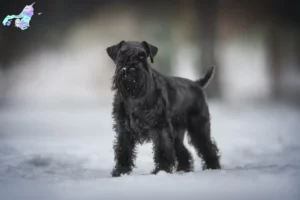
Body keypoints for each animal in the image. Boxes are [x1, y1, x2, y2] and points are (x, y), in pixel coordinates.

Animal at [106, 40, 220, 177]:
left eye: (142, 56)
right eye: (122, 55)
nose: (131, 68)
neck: (135, 96)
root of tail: (197, 84)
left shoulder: (160, 127)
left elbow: (162, 149)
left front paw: (161, 170)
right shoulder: (124, 128)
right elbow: (123, 150)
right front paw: (120, 171)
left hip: (199, 128)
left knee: (208, 147)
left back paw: (213, 168)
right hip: (177, 132)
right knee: (183, 151)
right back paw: (183, 169)